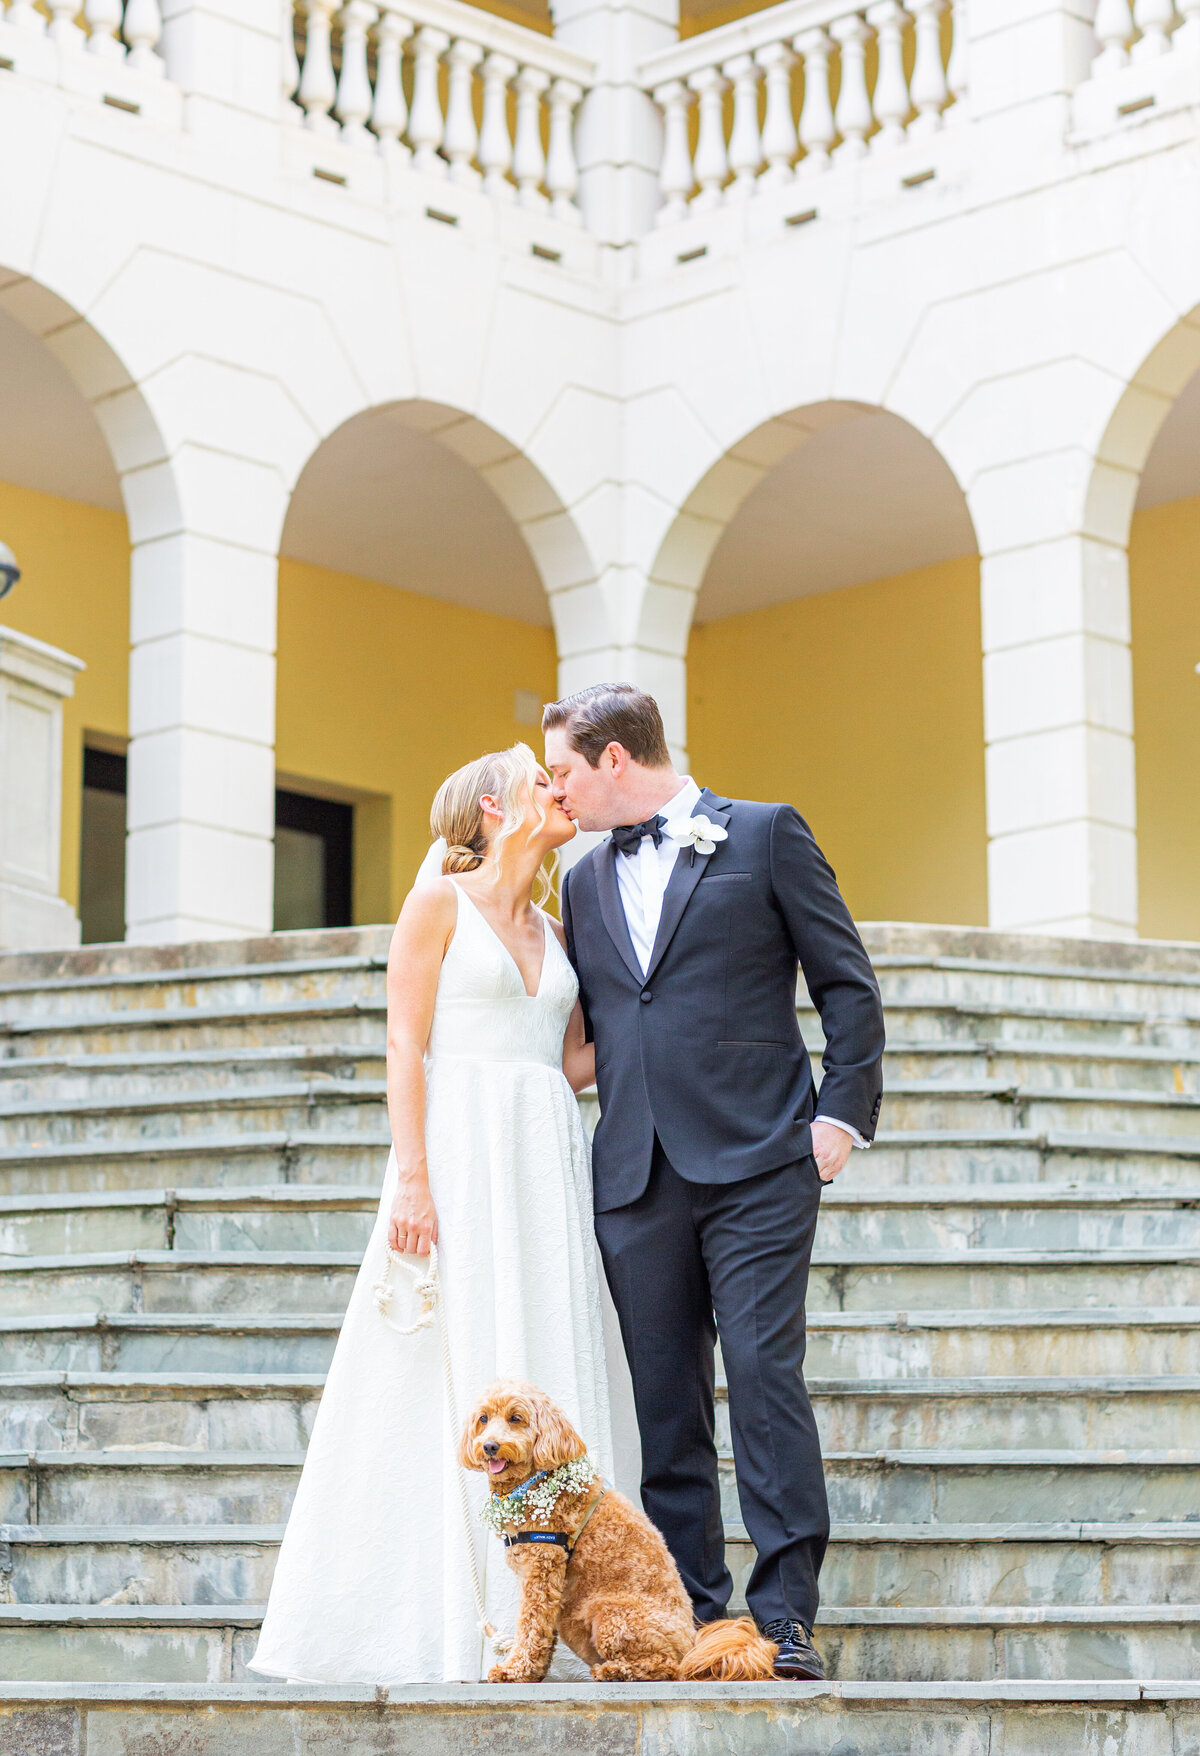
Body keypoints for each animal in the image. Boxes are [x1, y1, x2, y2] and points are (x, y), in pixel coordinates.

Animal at [460, 1376, 780, 1678]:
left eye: (516, 1418)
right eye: (483, 1419)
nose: (490, 1446)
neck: (534, 1482)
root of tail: (691, 1644)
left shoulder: (542, 1566)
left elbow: (531, 1624)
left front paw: (516, 1670)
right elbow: (541, 1630)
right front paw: (534, 1671)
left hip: (611, 1615)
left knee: (668, 1666)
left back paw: (613, 1671)